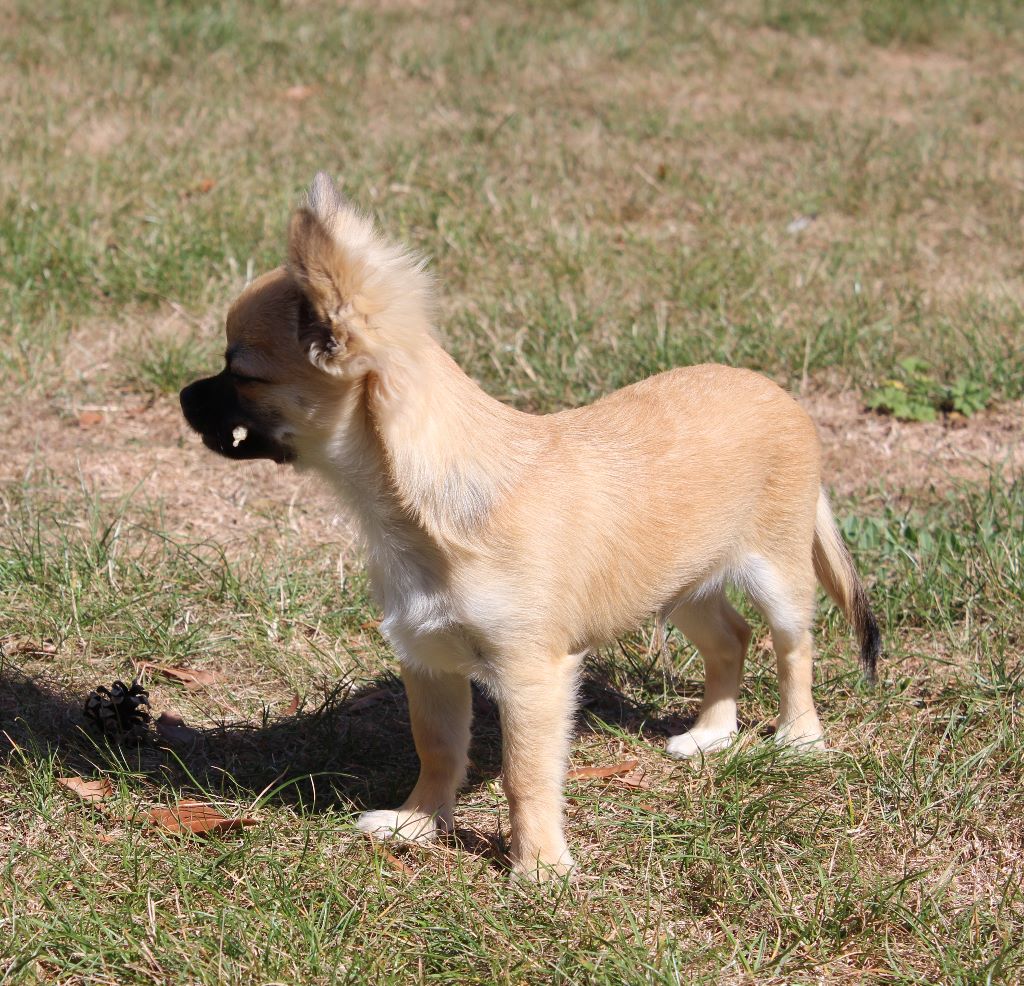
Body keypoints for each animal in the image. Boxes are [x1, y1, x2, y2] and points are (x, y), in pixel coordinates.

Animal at [178, 173, 880, 884]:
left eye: (241, 372)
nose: (183, 396)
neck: (417, 510)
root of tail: (778, 393)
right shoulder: (428, 657)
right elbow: (437, 747)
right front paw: (418, 823)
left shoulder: (530, 675)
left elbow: (526, 774)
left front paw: (539, 866)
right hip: (682, 583)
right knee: (730, 639)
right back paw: (712, 733)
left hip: (776, 574)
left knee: (793, 647)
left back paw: (799, 738)